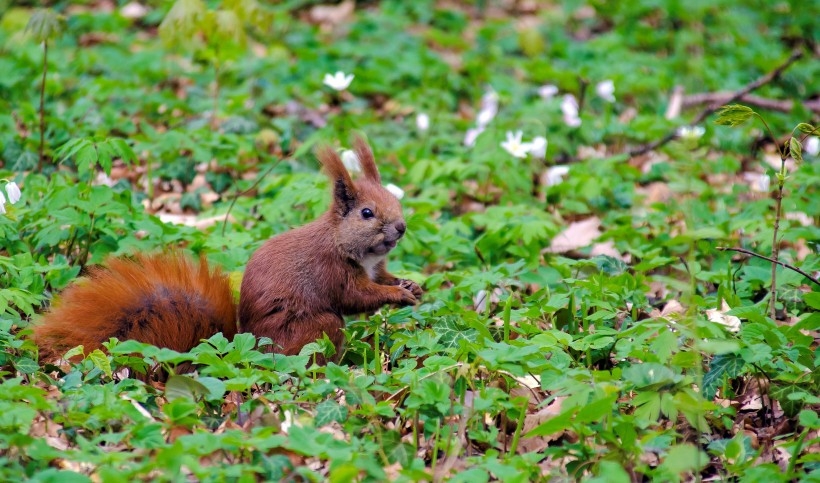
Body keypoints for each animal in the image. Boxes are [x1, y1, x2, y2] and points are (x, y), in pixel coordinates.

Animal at [33, 135, 422, 364]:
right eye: (367, 213)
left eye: (395, 200)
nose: (401, 227)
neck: (348, 244)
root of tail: (247, 341)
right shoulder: (334, 271)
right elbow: (356, 297)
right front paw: (397, 295)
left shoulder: (375, 267)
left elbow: (382, 278)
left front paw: (410, 285)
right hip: (315, 327)